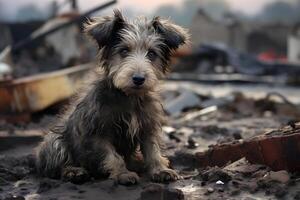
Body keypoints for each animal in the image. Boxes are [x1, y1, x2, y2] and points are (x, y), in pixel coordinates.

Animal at [36, 10, 189, 185]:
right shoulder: (96, 132)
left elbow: (153, 150)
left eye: (151, 54)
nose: (138, 79)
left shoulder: (147, 126)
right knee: (57, 165)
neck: (128, 96)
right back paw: (73, 172)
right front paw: (123, 174)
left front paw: (160, 170)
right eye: (124, 51)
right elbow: (113, 156)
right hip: (54, 141)